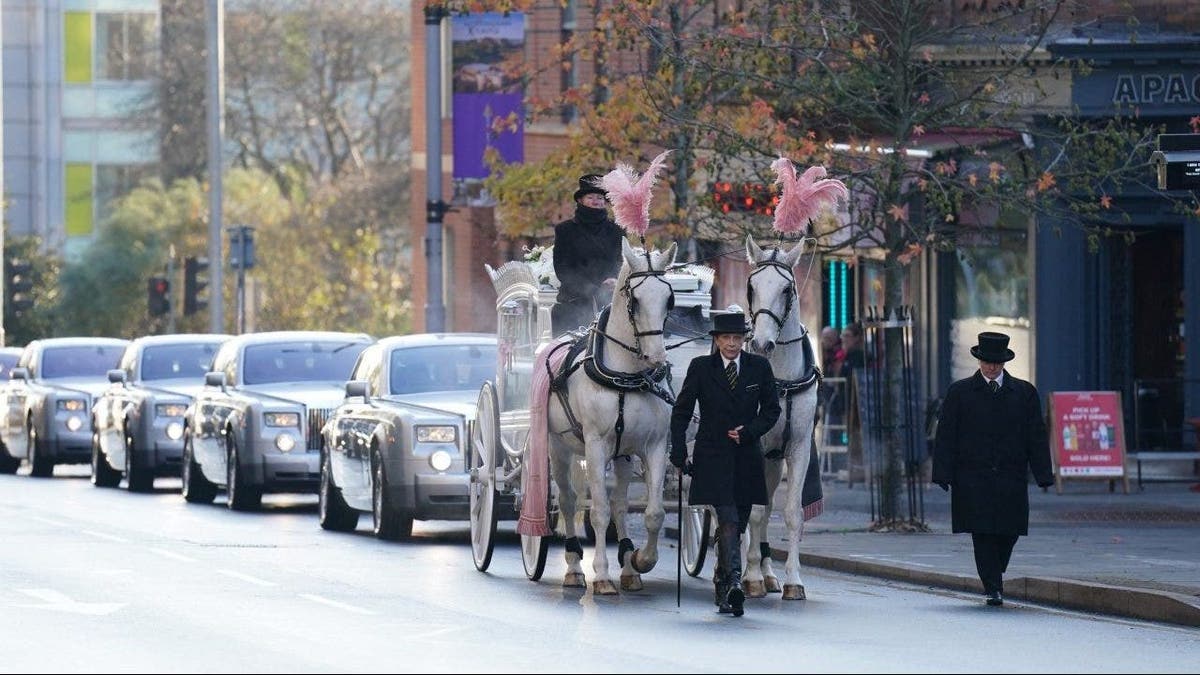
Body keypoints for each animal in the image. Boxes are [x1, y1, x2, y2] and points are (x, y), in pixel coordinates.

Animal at [544, 236, 676, 593]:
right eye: (636, 300)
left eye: (669, 299)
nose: (657, 357)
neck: (626, 376)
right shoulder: (595, 445)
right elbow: (599, 511)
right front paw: (601, 575)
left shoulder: (655, 446)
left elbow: (654, 513)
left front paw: (642, 560)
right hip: (559, 448)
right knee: (569, 500)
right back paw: (575, 567)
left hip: (622, 455)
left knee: (619, 503)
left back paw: (628, 566)